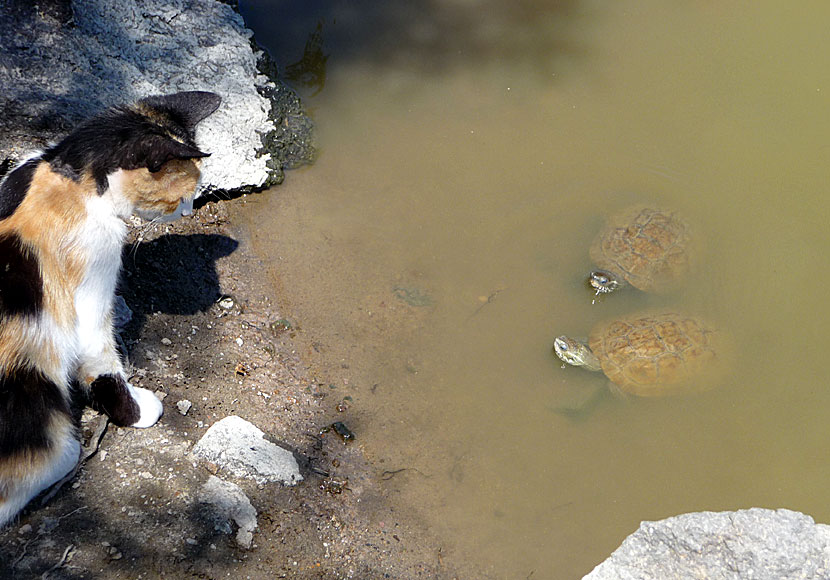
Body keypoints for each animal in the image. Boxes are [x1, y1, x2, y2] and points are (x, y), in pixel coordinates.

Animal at [0, 89, 223, 524]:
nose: (189, 210)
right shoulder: (92, 278)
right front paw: (137, 411)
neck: (67, 174)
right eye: (181, 194)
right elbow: (102, 361)